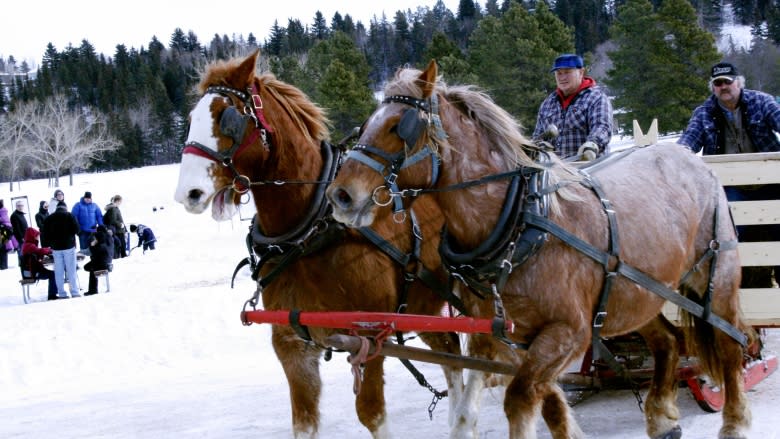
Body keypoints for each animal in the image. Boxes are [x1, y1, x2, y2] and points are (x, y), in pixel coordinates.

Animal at [173, 52, 464, 439]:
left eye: (226, 117)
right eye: (191, 119)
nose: (187, 193)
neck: (309, 234)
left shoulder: (369, 337)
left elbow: (372, 415)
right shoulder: (292, 346)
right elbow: (304, 422)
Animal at [328, 59, 756, 439]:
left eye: (400, 126)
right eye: (365, 126)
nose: (341, 195)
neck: (520, 221)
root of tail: (688, 157)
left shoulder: (568, 331)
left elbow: (520, 398)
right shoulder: (508, 337)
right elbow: (536, 401)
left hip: (715, 276)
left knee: (729, 343)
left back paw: (734, 422)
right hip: (633, 294)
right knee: (667, 341)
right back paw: (662, 417)